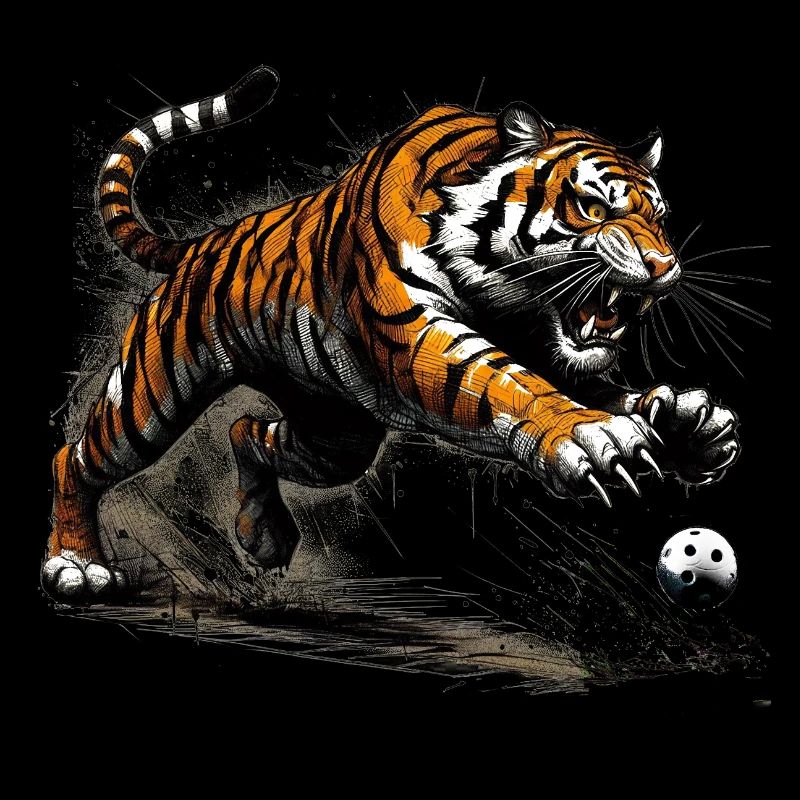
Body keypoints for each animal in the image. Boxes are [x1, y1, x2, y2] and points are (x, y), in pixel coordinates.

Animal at [46, 66, 740, 601]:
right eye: (593, 207)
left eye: (661, 218)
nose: (663, 266)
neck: (508, 297)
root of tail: (198, 243)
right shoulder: (417, 335)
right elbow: (508, 384)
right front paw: (592, 437)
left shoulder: (547, 346)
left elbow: (596, 384)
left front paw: (688, 422)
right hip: (149, 397)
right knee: (75, 458)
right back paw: (76, 567)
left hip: (334, 434)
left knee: (247, 430)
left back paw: (262, 535)